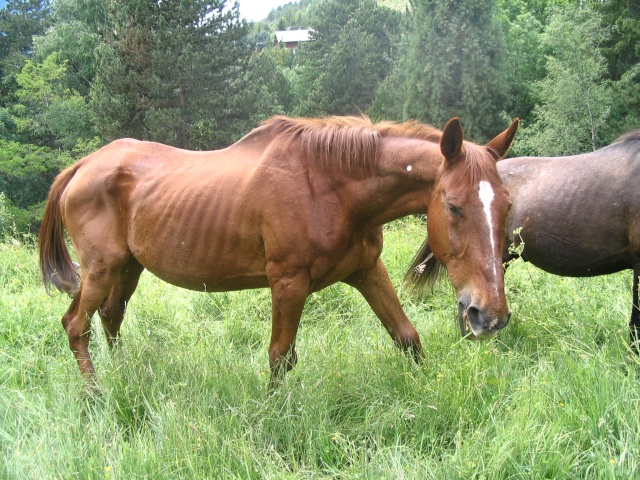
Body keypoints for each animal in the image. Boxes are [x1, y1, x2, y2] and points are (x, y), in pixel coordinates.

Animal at [38, 115, 520, 382]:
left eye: (507, 205)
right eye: (454, 206)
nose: (489, 315)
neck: (328, 184)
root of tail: (83, 166)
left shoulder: (367, 271)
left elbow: (407, 338)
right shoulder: (288, 283)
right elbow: (280, 358)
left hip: (128, 269)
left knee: (109, 318)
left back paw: (125, 376)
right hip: (101, 269)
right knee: (76, 324)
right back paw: (96, 395)